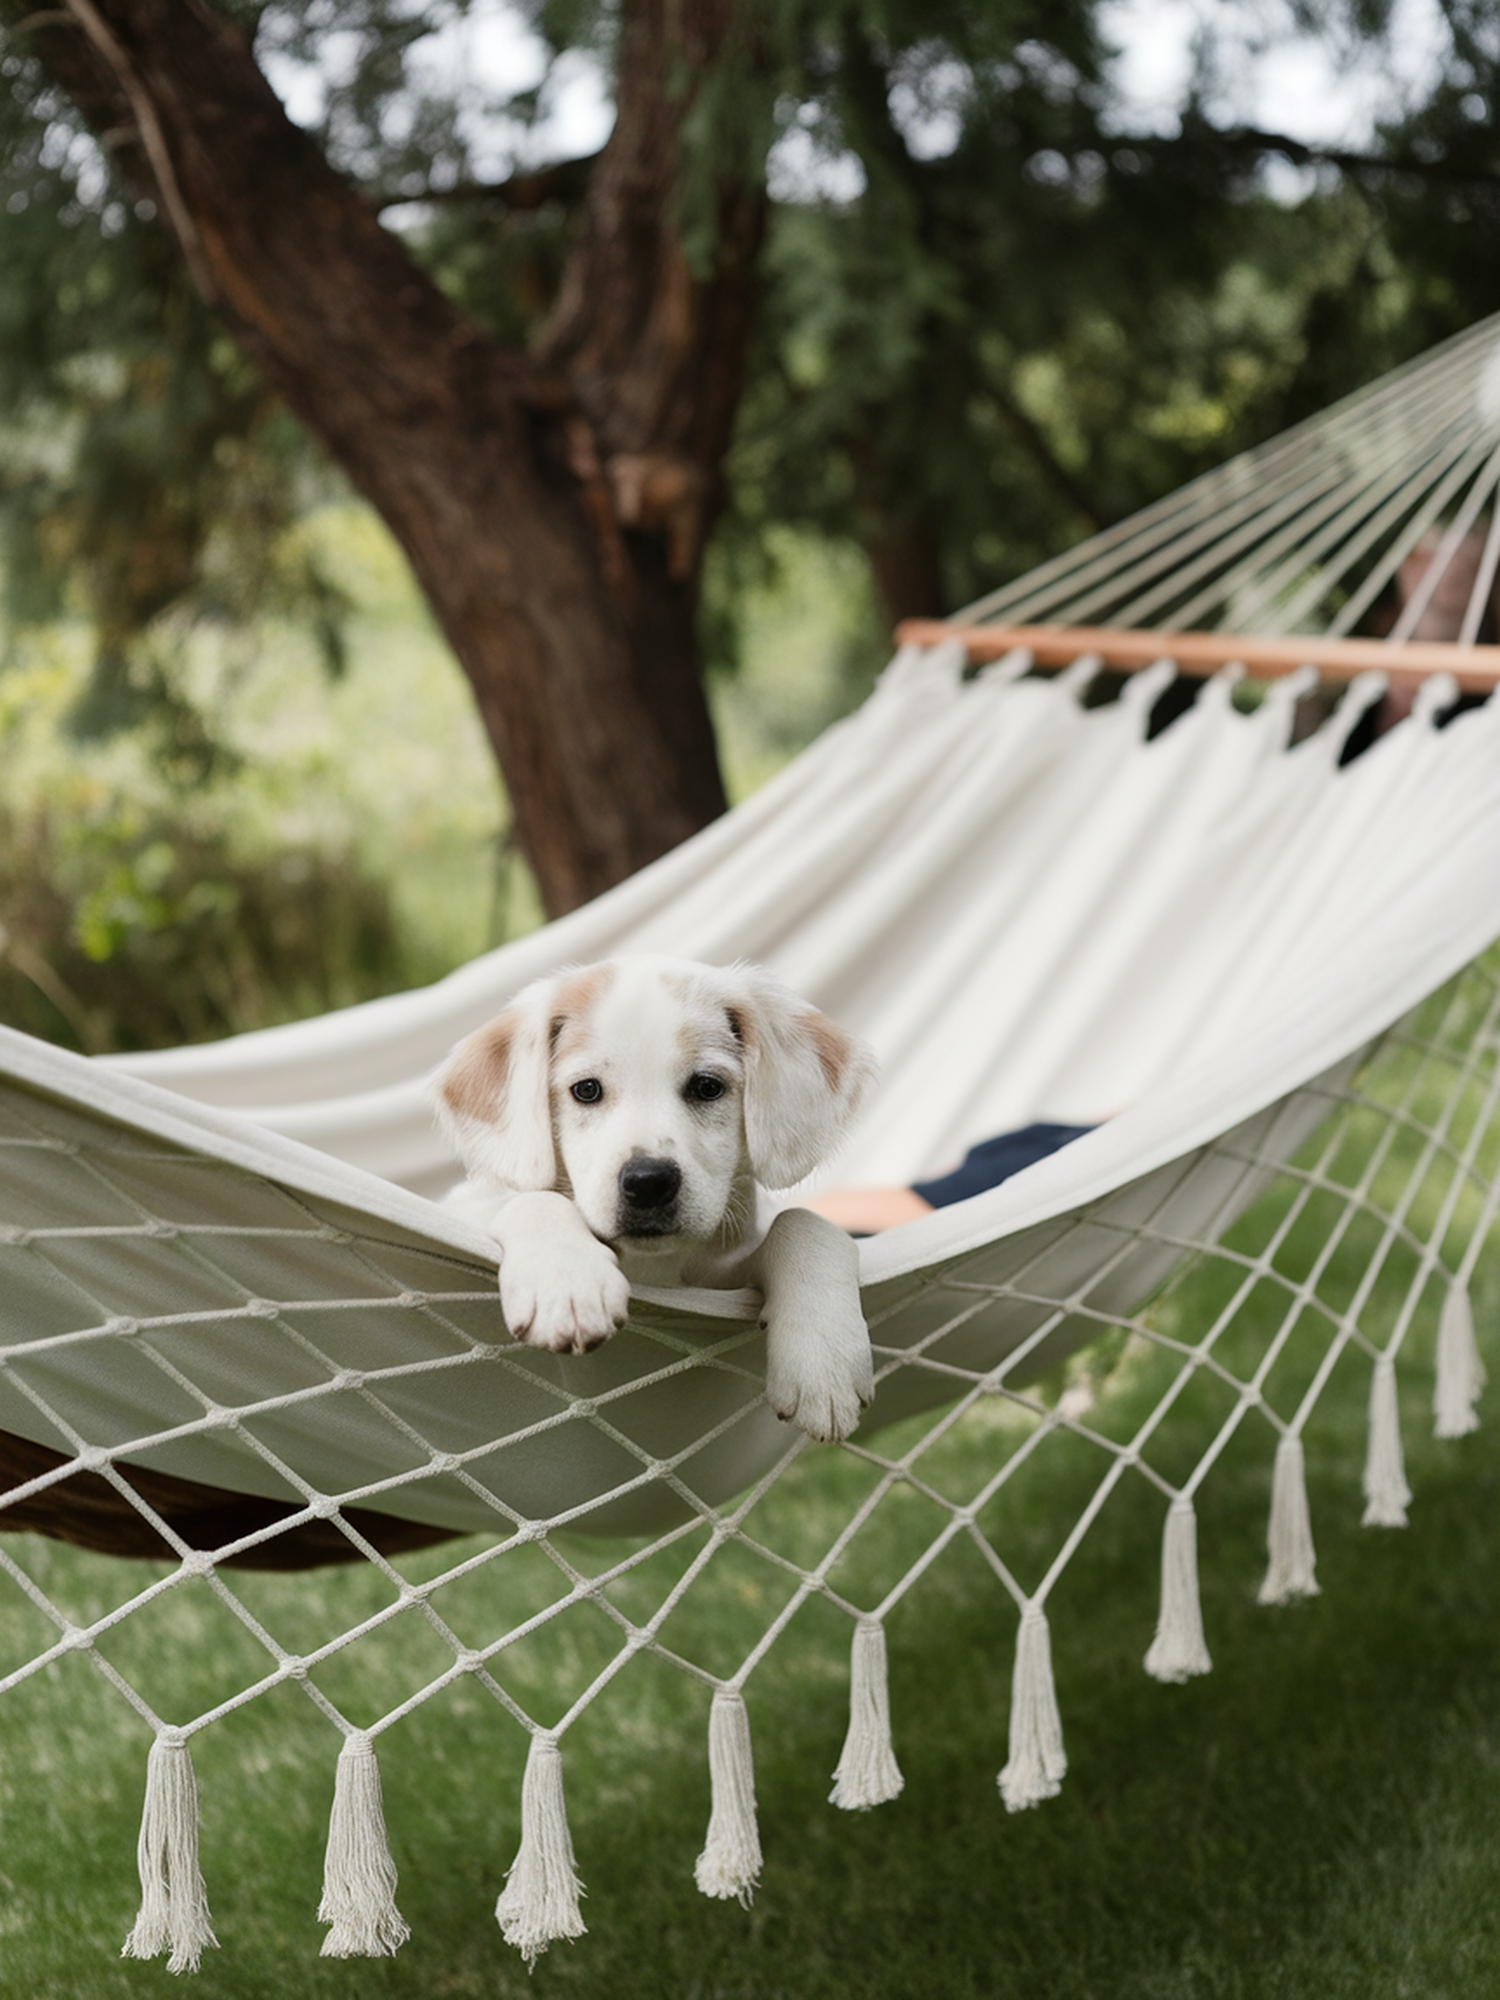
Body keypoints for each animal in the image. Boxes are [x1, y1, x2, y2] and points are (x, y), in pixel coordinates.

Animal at [432, 952, 880, 1440]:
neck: (652, 1263)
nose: (648, 1182)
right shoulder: (467, 1204)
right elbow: (534, 1200)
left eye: (707, 1087)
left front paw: (823, 1358)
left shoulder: (720, 1272)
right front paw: (566, 1283)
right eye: (586, 1090)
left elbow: (804, 1223)